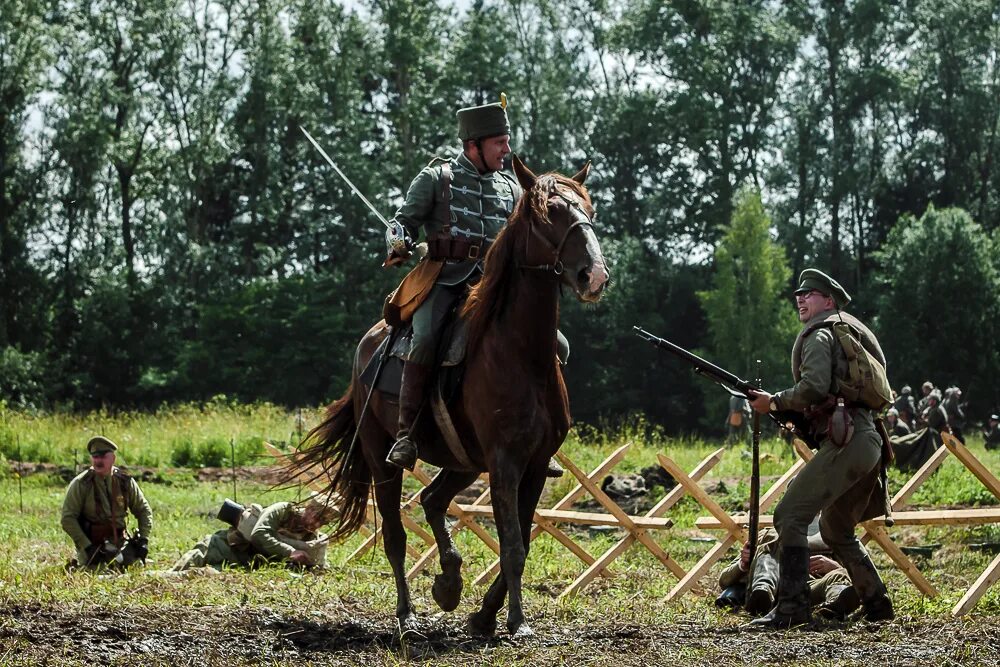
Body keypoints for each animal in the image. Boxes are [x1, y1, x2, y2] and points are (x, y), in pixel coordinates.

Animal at [290, 155, 608, 636]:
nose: (595, 275)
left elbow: (522, 540)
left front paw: (485, 615)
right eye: (548, 214)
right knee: (397, 535)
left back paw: (449, 581)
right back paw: (407, 615)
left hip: (463, 462)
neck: (520, 353)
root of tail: (371, 342)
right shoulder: (504, 463)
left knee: (433, 500)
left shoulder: (534, 465)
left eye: (588, 209)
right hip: (382, 456)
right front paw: (516, 621)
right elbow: (512, 544)